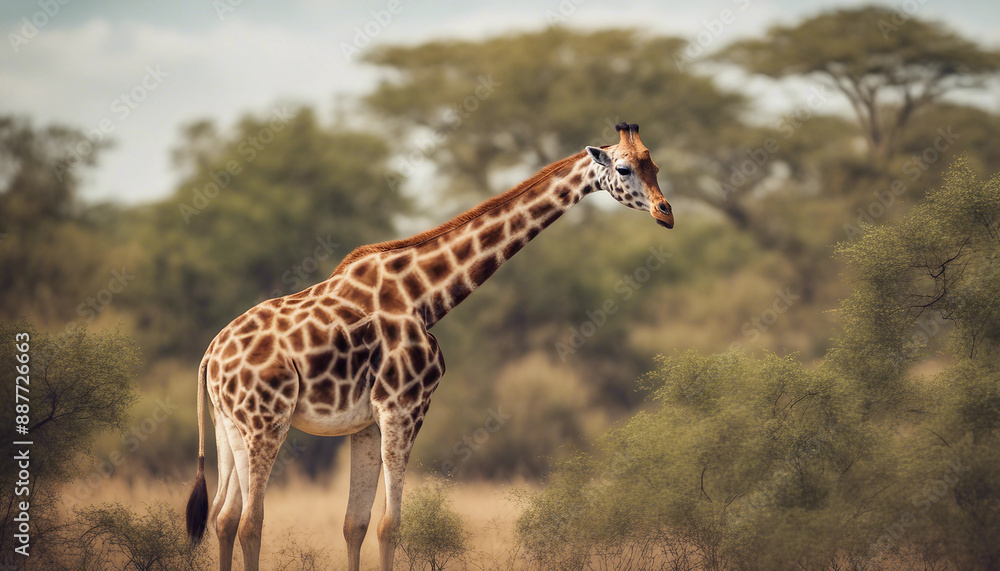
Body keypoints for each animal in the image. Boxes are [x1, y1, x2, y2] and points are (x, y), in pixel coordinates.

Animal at [185, 122, 673, 571]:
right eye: (624, 169)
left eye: (656, 167)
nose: (665, 212)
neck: (424, 296)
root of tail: (210, 354)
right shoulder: (404, 406)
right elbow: (390, 524)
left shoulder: (366, 422)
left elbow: (354, 524)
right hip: (266, 421)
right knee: (250, 522)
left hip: (229, 424)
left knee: (224, 517)